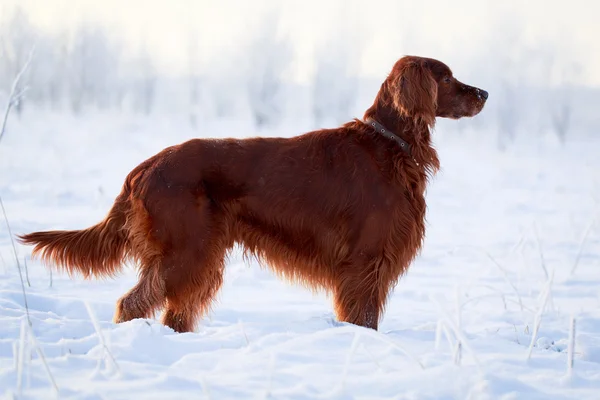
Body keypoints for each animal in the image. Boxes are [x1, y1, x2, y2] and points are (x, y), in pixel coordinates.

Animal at [18, 55, 488, 332]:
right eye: (447, 77)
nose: (484, 92)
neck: (389, 144)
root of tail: (142, 169)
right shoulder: (366, 262)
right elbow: (364, 320)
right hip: (186, 251)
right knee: (132, 303)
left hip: (200, 257)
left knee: (173, 311)